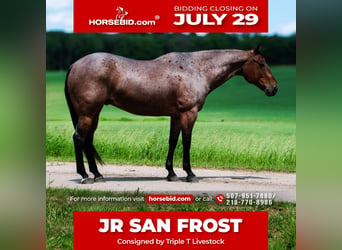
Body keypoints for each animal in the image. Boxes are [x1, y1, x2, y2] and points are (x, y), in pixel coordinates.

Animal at [64, 46, 278, 184]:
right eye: (261, 63)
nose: (274, 88)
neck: (196, 69)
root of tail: (75, 64)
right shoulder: (188, 113)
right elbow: (187, 141)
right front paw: (190, 173)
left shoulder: (176, 116)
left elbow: (173, 141)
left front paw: (171, 173)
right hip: (88, 113)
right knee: (79, 138)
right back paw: (85, 176)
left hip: (94, 113)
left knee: (88, 140)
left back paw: (97, 174)